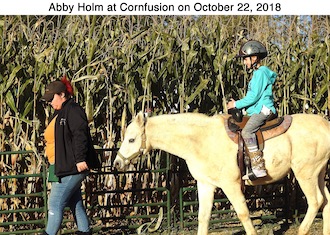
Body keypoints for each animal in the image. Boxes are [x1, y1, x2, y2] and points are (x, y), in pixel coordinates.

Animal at [113, 112, 330, 235]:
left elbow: (243, 214)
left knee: (316, 201)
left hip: (305, 173)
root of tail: (325, 125)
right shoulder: (205, 185)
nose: (117, 162)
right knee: (326, 200)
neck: (202, 139)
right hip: (318, 173)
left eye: (131, 139)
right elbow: (203, 217)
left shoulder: (230, 185)